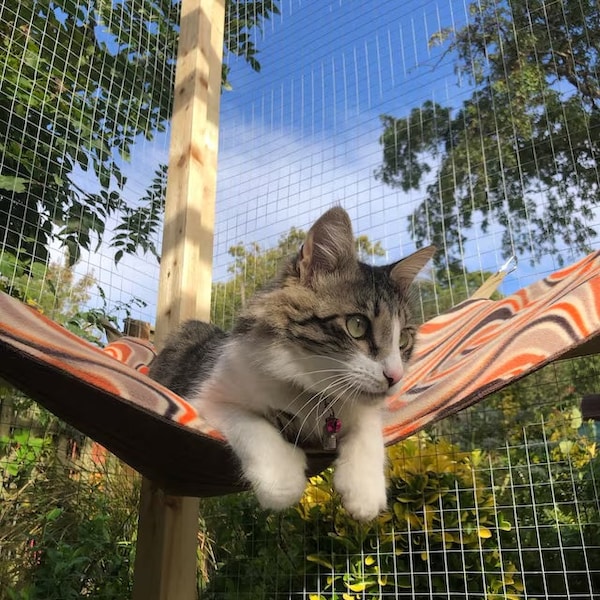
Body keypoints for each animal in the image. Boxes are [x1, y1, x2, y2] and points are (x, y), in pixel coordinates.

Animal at [149, 207, 432, 520]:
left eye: (403, 339)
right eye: (357, 325)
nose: (395, 377)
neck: (314, 392)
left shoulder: (363, 411)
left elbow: (368, 431)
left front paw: (365, 493)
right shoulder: (205, 397)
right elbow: (252, 425)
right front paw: (281, 482)